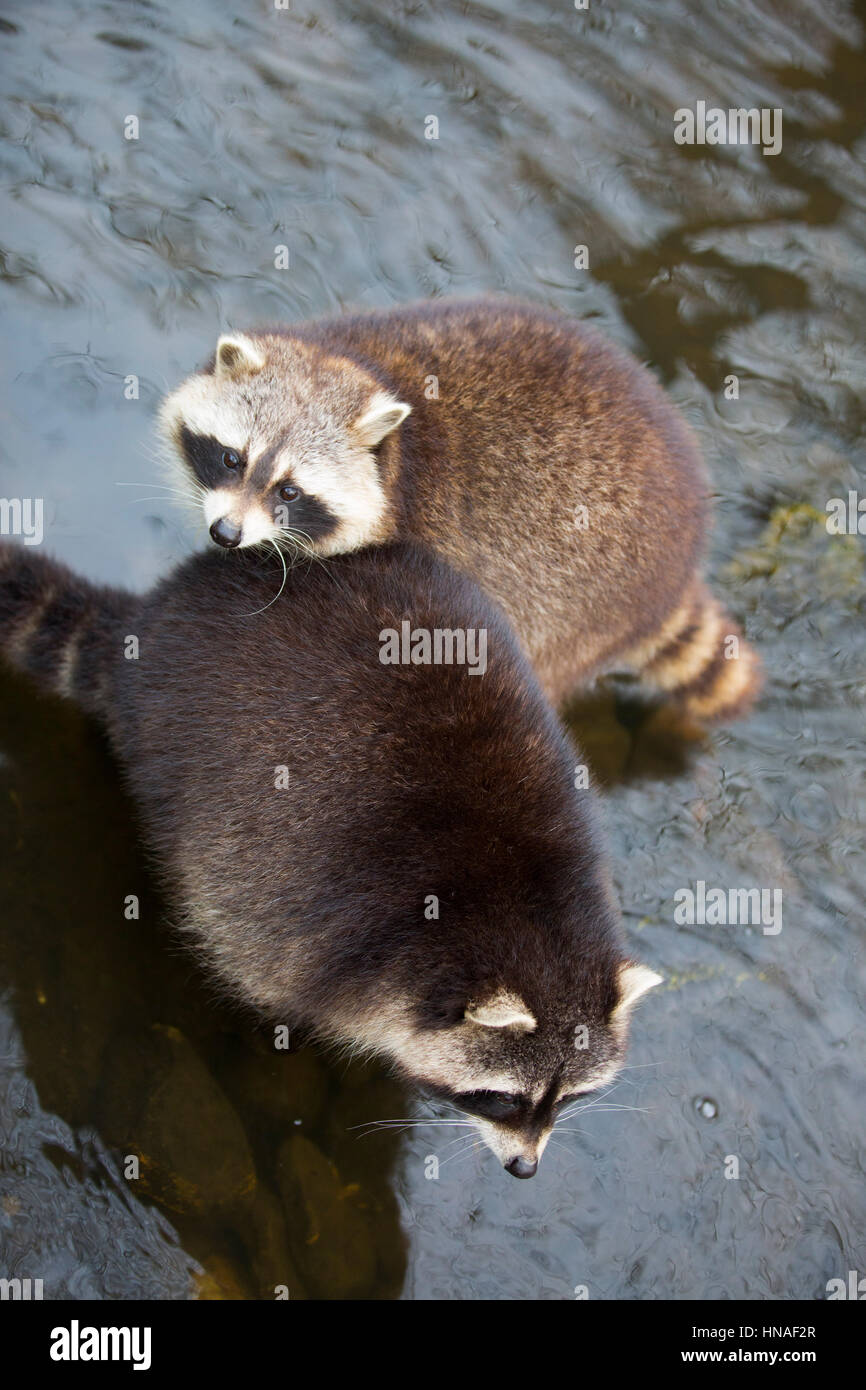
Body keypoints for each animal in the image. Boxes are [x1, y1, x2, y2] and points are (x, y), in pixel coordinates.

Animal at [0, 539, 664, 1173]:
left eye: (568, 1098)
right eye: (502, 1098)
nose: (524, 1168)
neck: (525, 902)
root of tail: (161, 609)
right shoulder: (301, 908)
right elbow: (260, 972)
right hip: (173, 745)